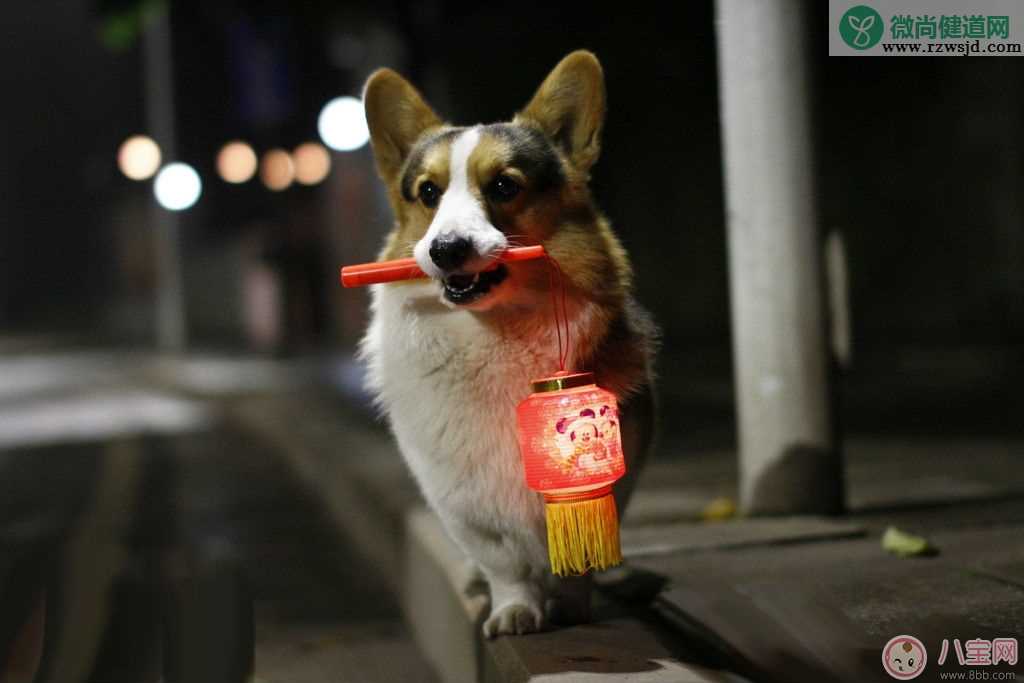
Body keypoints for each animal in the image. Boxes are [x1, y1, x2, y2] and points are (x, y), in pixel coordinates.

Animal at [360, 50, 659, 638]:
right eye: (428, 193)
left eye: (503, 186)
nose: (447, 249)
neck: (493, 332)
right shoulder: (464, 504)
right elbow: (505, 564)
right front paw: (515, 608)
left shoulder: (607, 480)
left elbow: (576, 556)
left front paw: (571, 604)